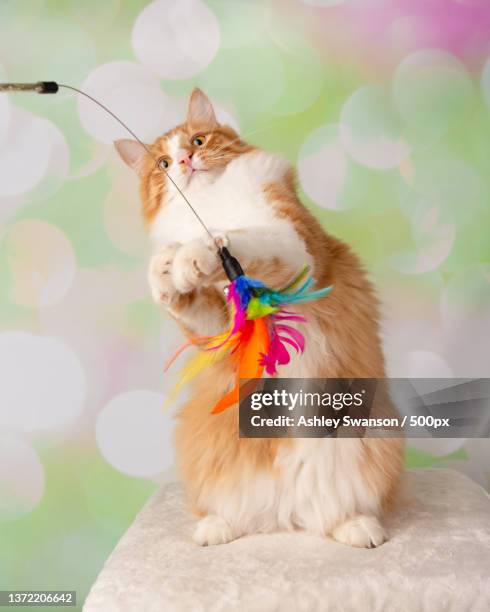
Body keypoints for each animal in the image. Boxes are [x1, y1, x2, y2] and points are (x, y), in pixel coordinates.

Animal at [116, 87, 406, 548]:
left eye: (197, 141)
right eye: (162, 164)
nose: (184, 161)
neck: (212, 206)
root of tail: (286, 515)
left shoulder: (294, 247)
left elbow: (244, 241)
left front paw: (198, 252)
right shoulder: (216, 328)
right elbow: (177, 292)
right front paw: (167, 269)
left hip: (368, 436)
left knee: (336, 509)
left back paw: (357, 527)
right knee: (239, 513)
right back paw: (217, 528)